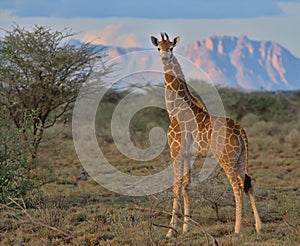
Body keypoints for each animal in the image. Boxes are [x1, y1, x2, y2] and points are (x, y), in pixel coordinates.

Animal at [151, 33, 262, 238]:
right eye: (158, 48)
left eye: (171, 47)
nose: (164, 56)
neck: (174, 111)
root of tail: (241, 131)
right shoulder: (188, 154)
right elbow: (186, 186)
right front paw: (186, 227)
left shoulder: (176, 150)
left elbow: (175, 186)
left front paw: (170, 231)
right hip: (241, 157)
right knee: (248, 183)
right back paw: (259, 227)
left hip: (226, 158)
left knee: (237, 187)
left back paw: (237, 229)